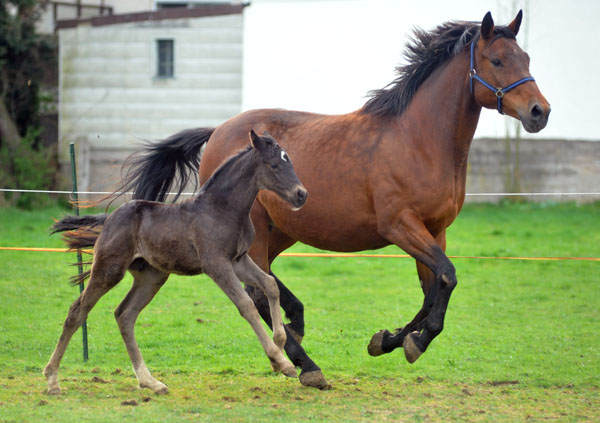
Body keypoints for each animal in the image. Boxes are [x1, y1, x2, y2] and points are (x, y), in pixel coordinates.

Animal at [44, 131, 308, 396]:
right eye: (274, 165)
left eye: (289, 160)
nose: (301, 194)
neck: (222, 209)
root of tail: (109, 218)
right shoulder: (217, 265)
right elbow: (246, 305)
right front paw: (282, 361)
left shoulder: (239, 261)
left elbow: (270, 284)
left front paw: (279, 348)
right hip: (110, 269)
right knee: (78, 310)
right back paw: (52, 379)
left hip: (151, 277)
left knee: (125, 315)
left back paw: (150, 382)